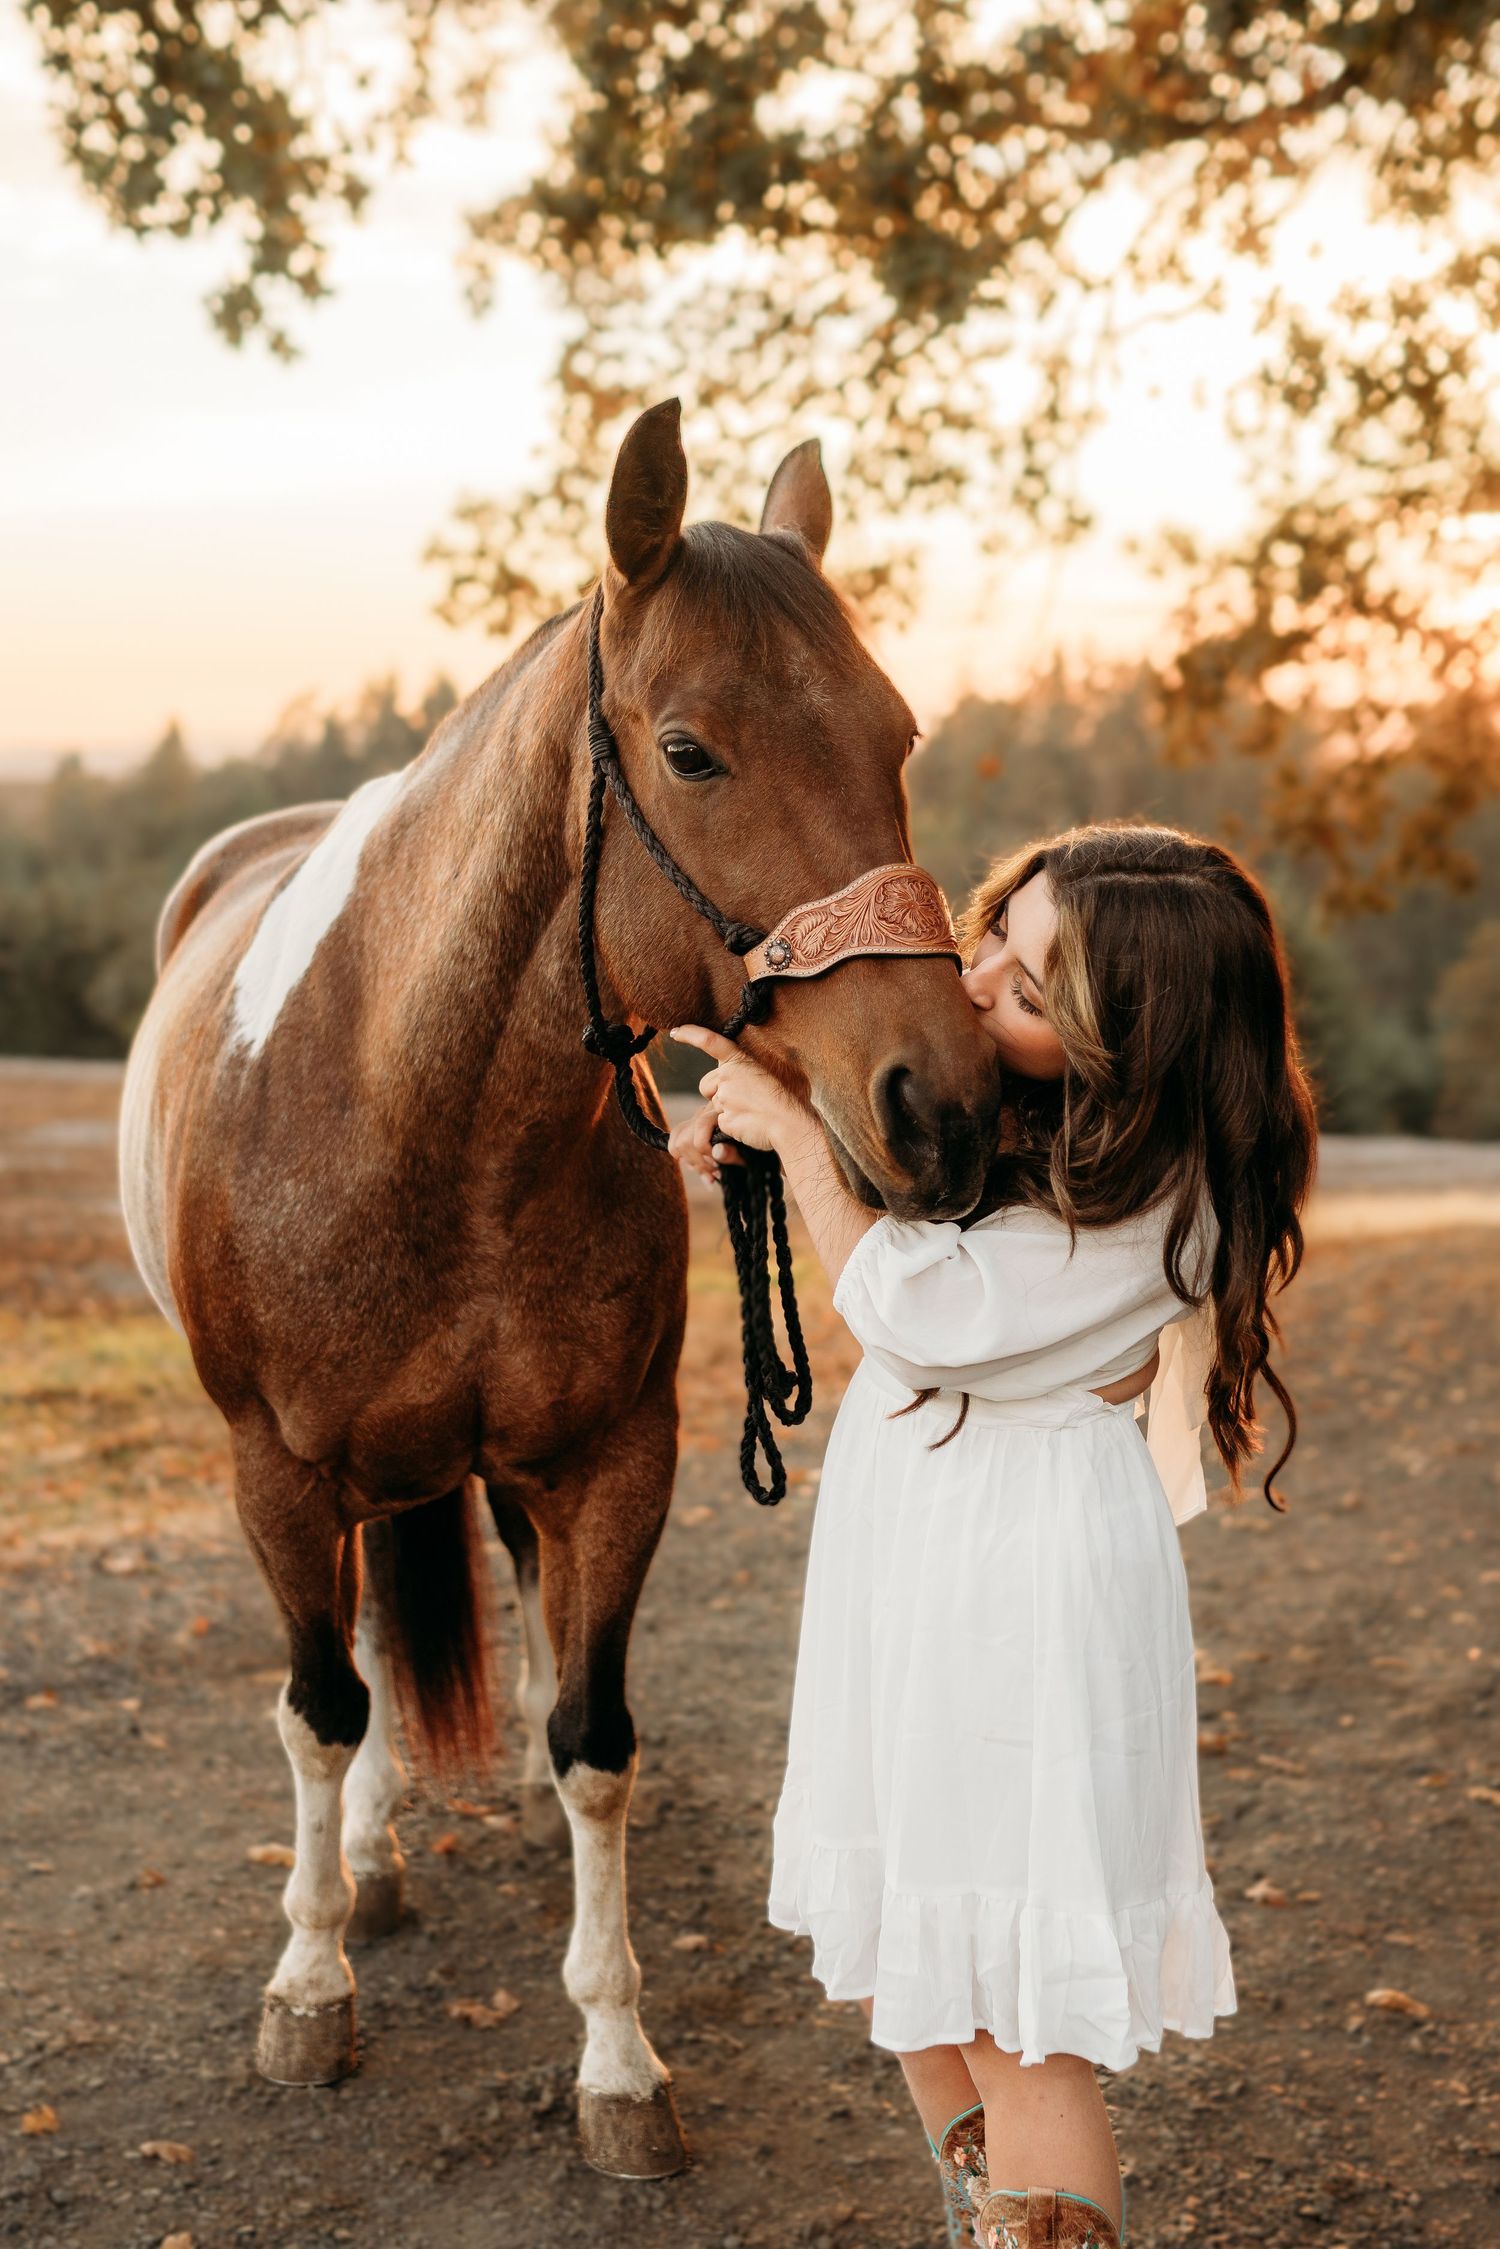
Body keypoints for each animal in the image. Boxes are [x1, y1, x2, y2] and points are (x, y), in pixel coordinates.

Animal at [117, 398, 1001, 2180]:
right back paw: (373, 1860)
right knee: (362, 1661)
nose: (939, 1108)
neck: (422, 1114)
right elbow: (320, 1708)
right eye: (690, 750)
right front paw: (310, 1978)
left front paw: (617, 2059)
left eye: (901, 735)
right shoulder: (274, 1468)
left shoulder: (612, 1463)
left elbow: (596, 1741)